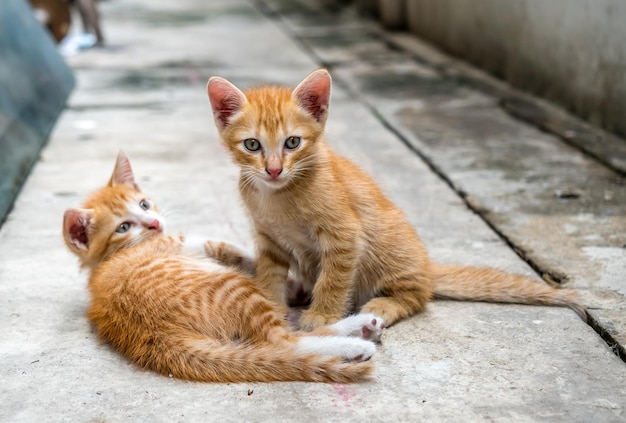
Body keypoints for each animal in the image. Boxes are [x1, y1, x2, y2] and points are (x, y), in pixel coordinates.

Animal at [63, 152, 386, 384]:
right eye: (124, 227)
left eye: (143, 204)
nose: (154, 223)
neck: (107, 259)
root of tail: (155, 335)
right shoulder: (189, 244)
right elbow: (234, 249)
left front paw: (295, 286)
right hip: (233, 285)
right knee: (284, 341)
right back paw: (355, 342)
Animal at [205, 68, 584, 332]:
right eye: (252, 145)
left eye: (293, 142)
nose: (273, 169)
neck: (277, 195)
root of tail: (427, 267)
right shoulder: (268, 237)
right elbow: (270, 273)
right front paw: (271, 303)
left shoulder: (345, 237)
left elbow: (334, 279)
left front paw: (322, 315)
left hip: (388, 248)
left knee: (418, 295)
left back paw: (381, 306)